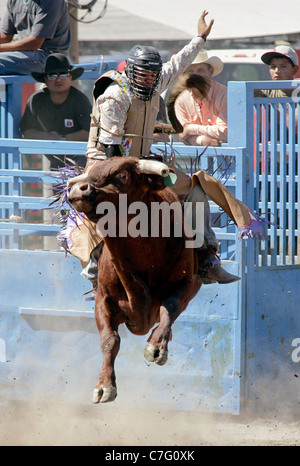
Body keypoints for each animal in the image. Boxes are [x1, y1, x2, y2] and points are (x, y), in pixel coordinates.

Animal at [68, 157, 202, 404]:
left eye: (122, 175)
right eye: (91, 172)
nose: (78, 190)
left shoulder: (185, 285)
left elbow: (169, 309)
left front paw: (157, 346)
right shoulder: (103, 299)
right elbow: (109, 340)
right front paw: (104, 385)